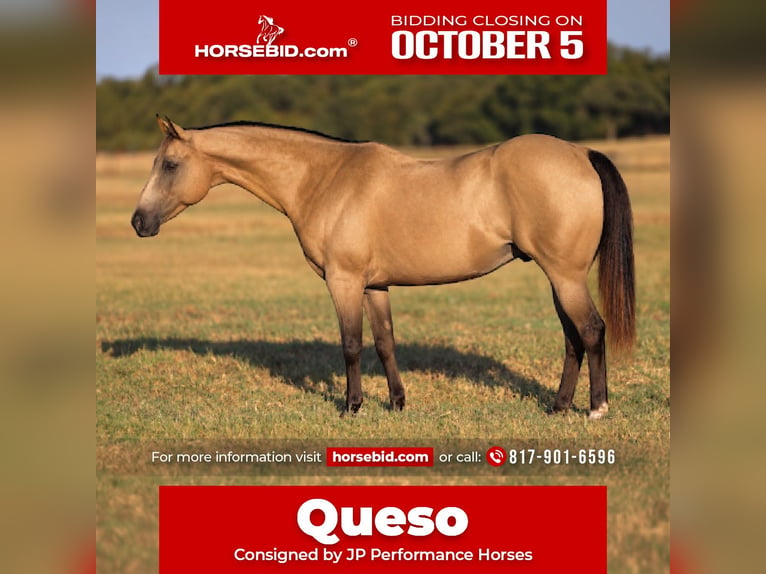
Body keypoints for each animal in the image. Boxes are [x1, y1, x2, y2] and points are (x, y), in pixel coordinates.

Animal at [131, 115, 635, 420]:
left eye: (170, 164)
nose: (139, 222)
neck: (324, 179)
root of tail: (581, 154)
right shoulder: (375, 286)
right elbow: (385, 344)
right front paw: (396, 402)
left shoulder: (344, 281)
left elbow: (351, 345)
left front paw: (351, 406)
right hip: (558, 277)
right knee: (572, 338)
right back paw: (558, 406)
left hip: (565, 276)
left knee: (591, 330)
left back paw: (597, 409)